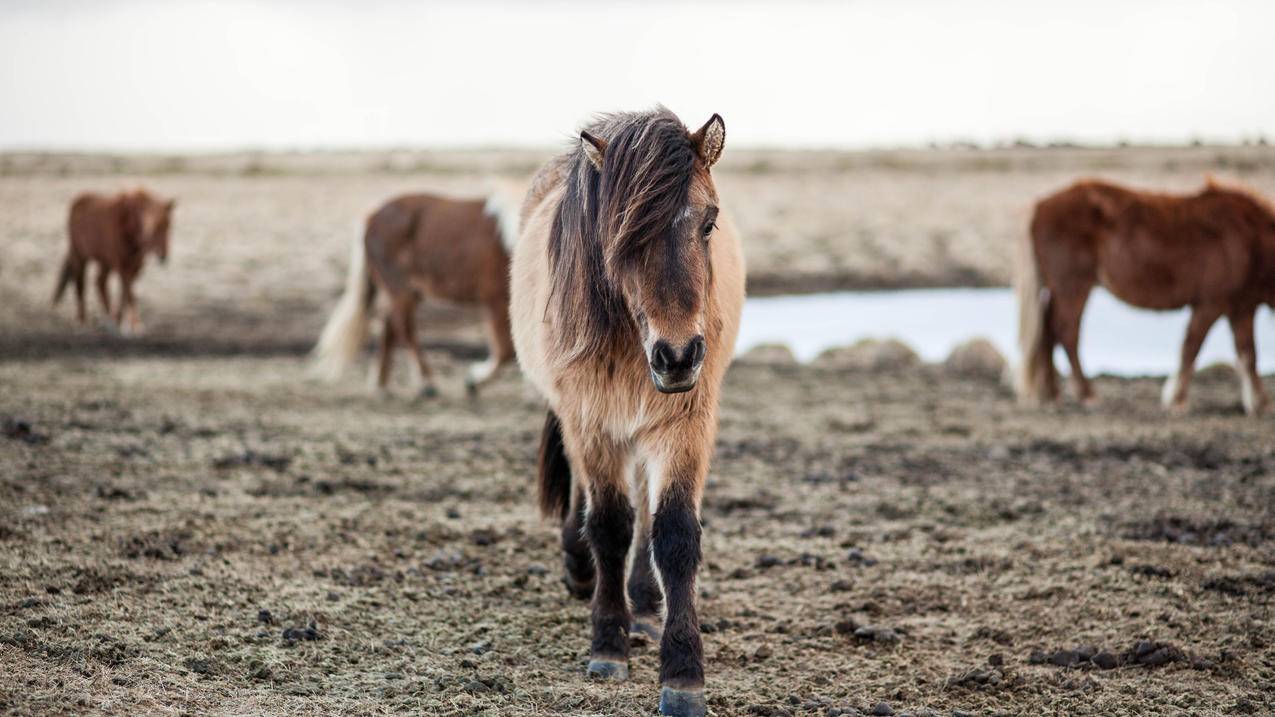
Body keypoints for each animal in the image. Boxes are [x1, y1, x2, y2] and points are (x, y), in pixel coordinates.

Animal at [507, 107, 744, 714]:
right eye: (623, 234)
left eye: (708, 223)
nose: (678, 355)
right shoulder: (590, 421)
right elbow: (610, 524)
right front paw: (608, 645)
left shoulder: (685, 424)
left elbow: (675, 533)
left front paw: (682, 673)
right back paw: (581, 569)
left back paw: (643, 602)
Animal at [1014, 176, 1275, 415]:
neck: (1250, 239)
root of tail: (1040, 206)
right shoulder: (1210, 303)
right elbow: (1192, 347)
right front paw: (1176, 400)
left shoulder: (1242, 308)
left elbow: (1248, 353)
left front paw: (1259, 403)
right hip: (1073, 287)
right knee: (1066, 332)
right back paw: (1085, 394)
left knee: (1048, 332)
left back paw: (1051, 394)